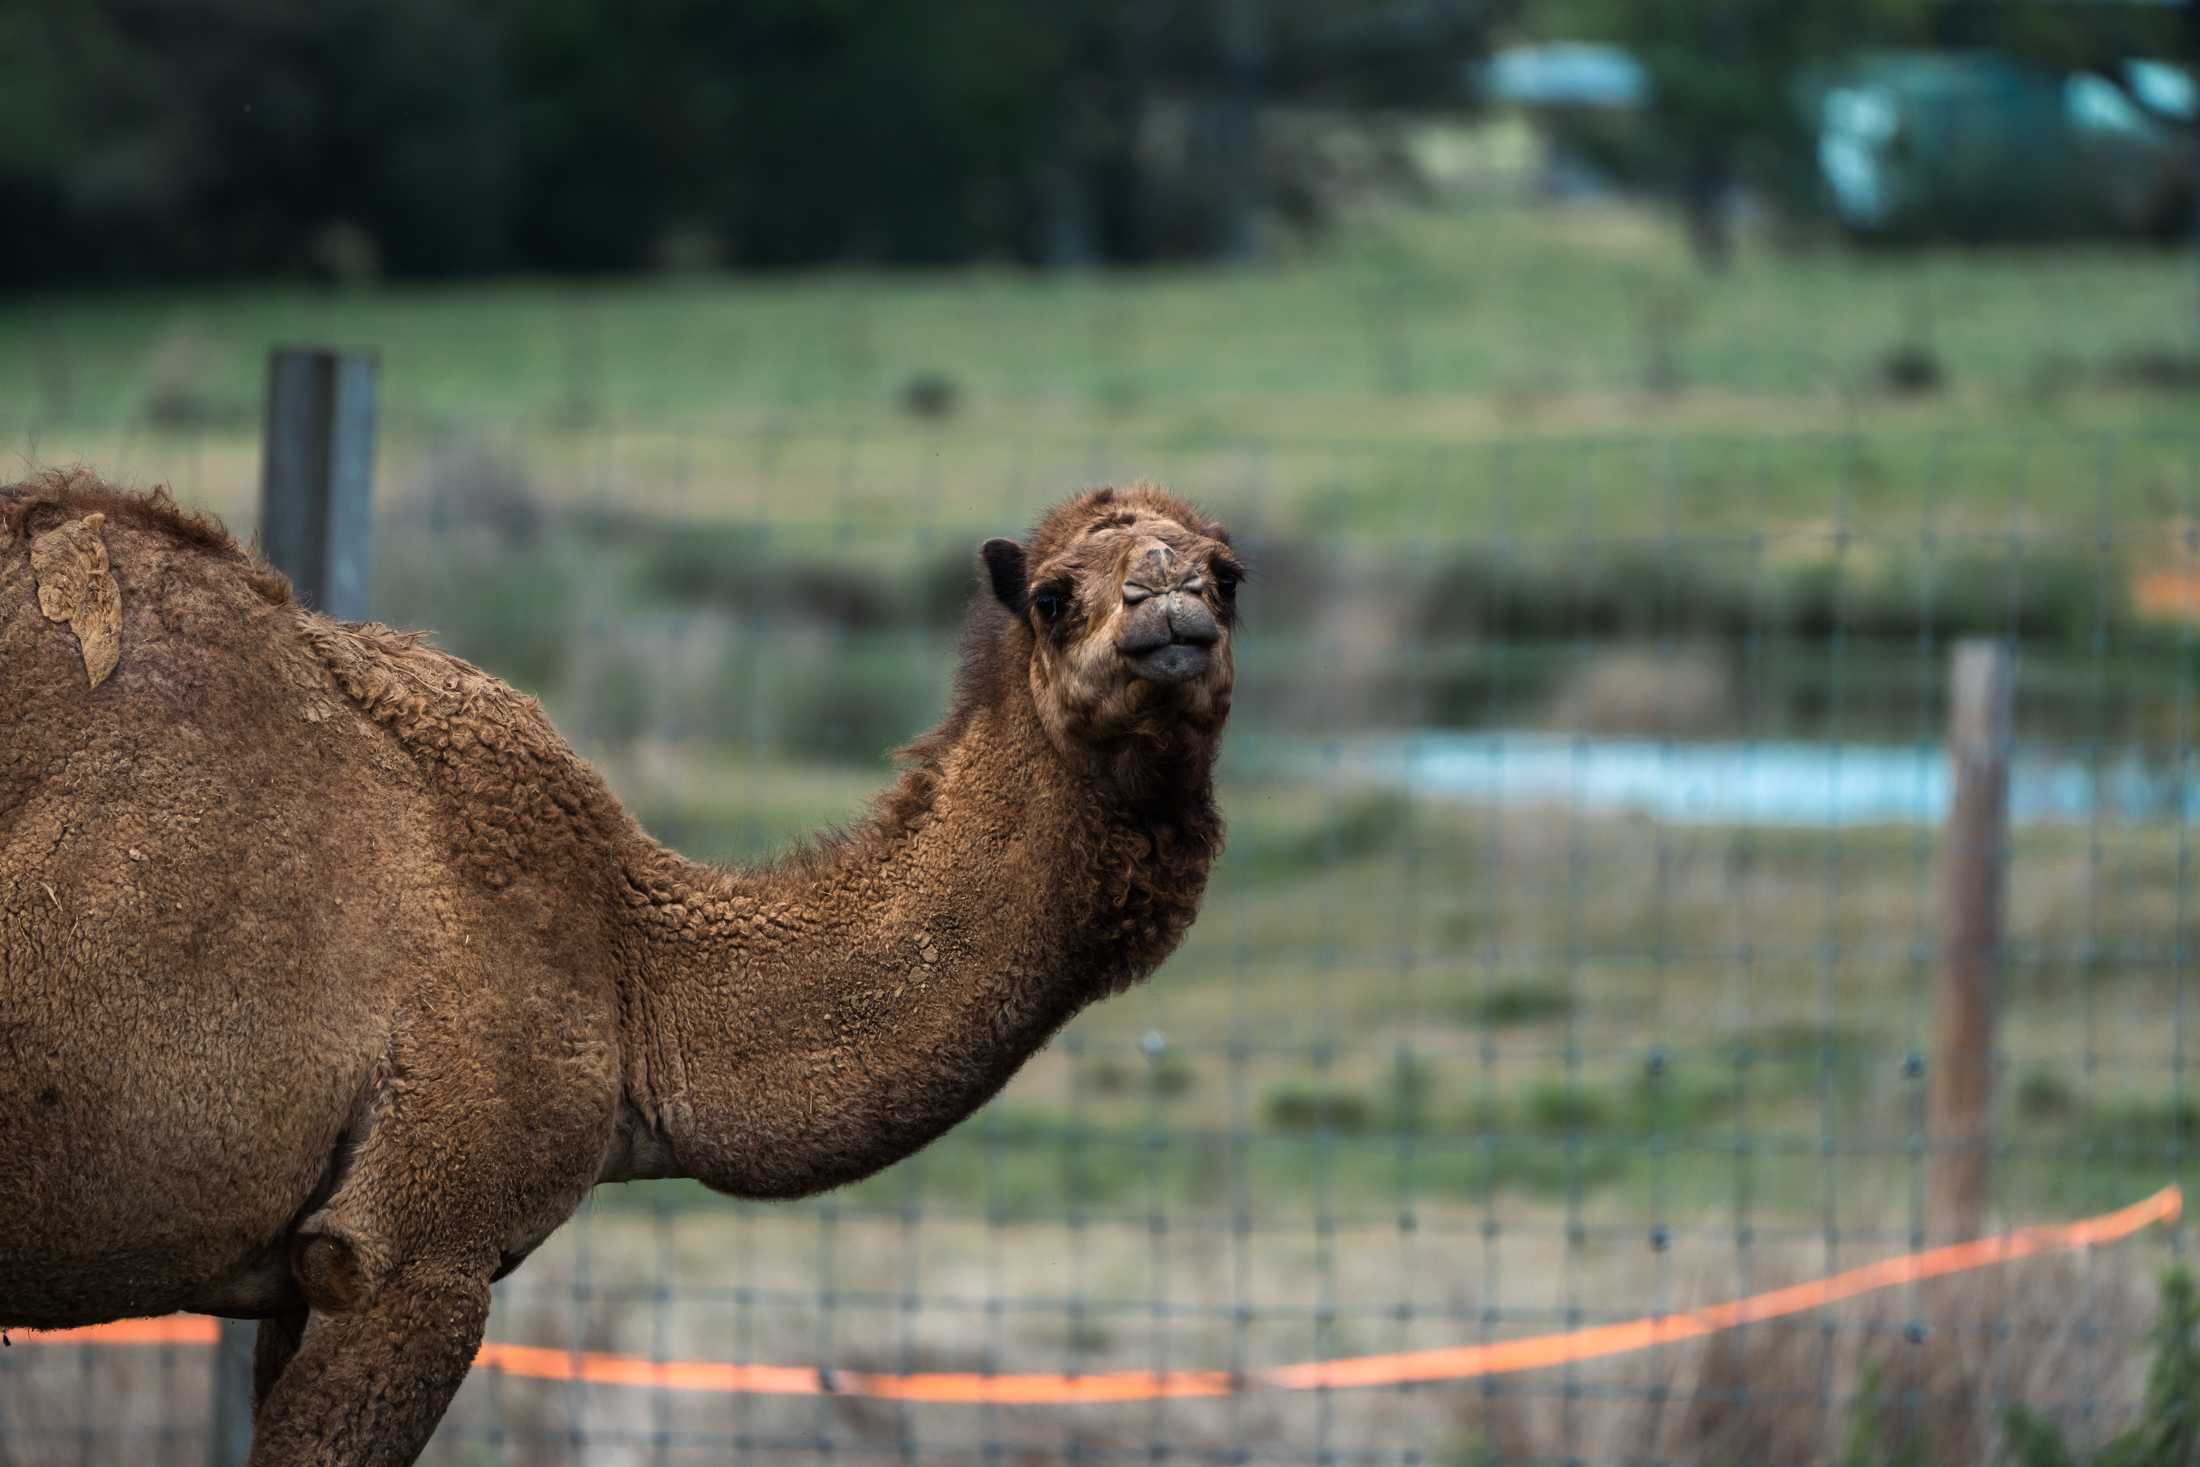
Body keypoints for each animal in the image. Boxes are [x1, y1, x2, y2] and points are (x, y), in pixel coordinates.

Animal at [0, 477, 1240, 1460]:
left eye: (1229, 575)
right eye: (1054, 596)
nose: (1170, 605)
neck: (629, 966)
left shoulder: (310, 1264)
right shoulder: (418, 1250)